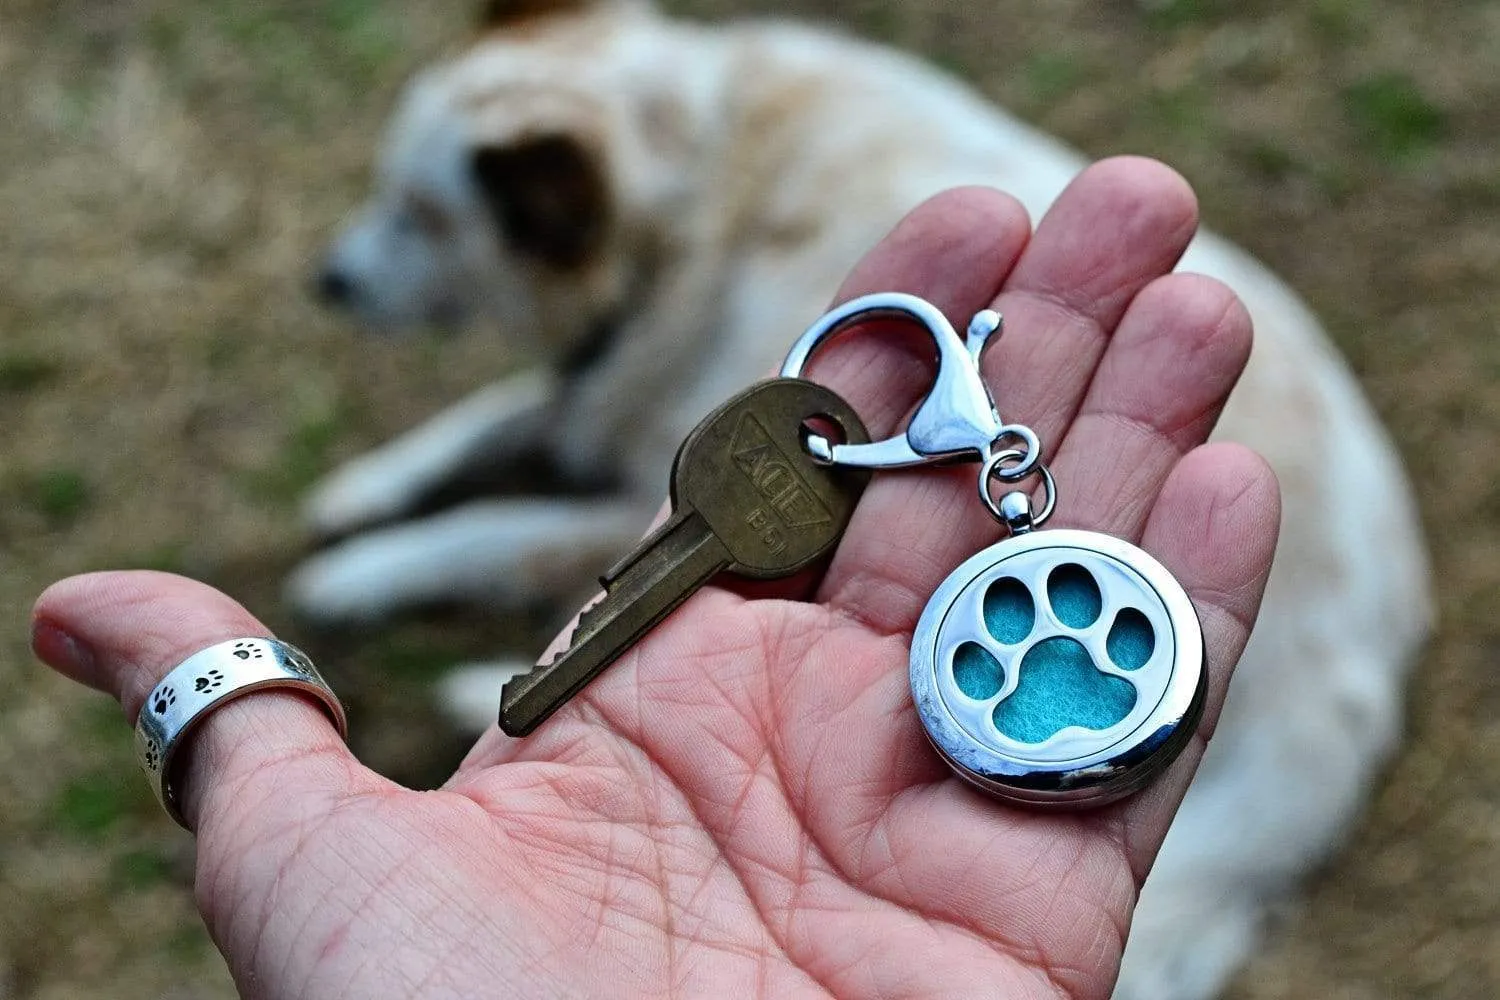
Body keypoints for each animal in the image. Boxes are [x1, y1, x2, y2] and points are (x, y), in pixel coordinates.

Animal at [292, 3, 1428, 995]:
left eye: (422, 214)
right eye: (386, 182)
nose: (326, 282)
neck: (701, 193)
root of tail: (1368, 684)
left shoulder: (628, 482)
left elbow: (492, 526)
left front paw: (362, 572)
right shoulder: (612, 391)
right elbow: (497, 412)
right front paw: (362, 489)